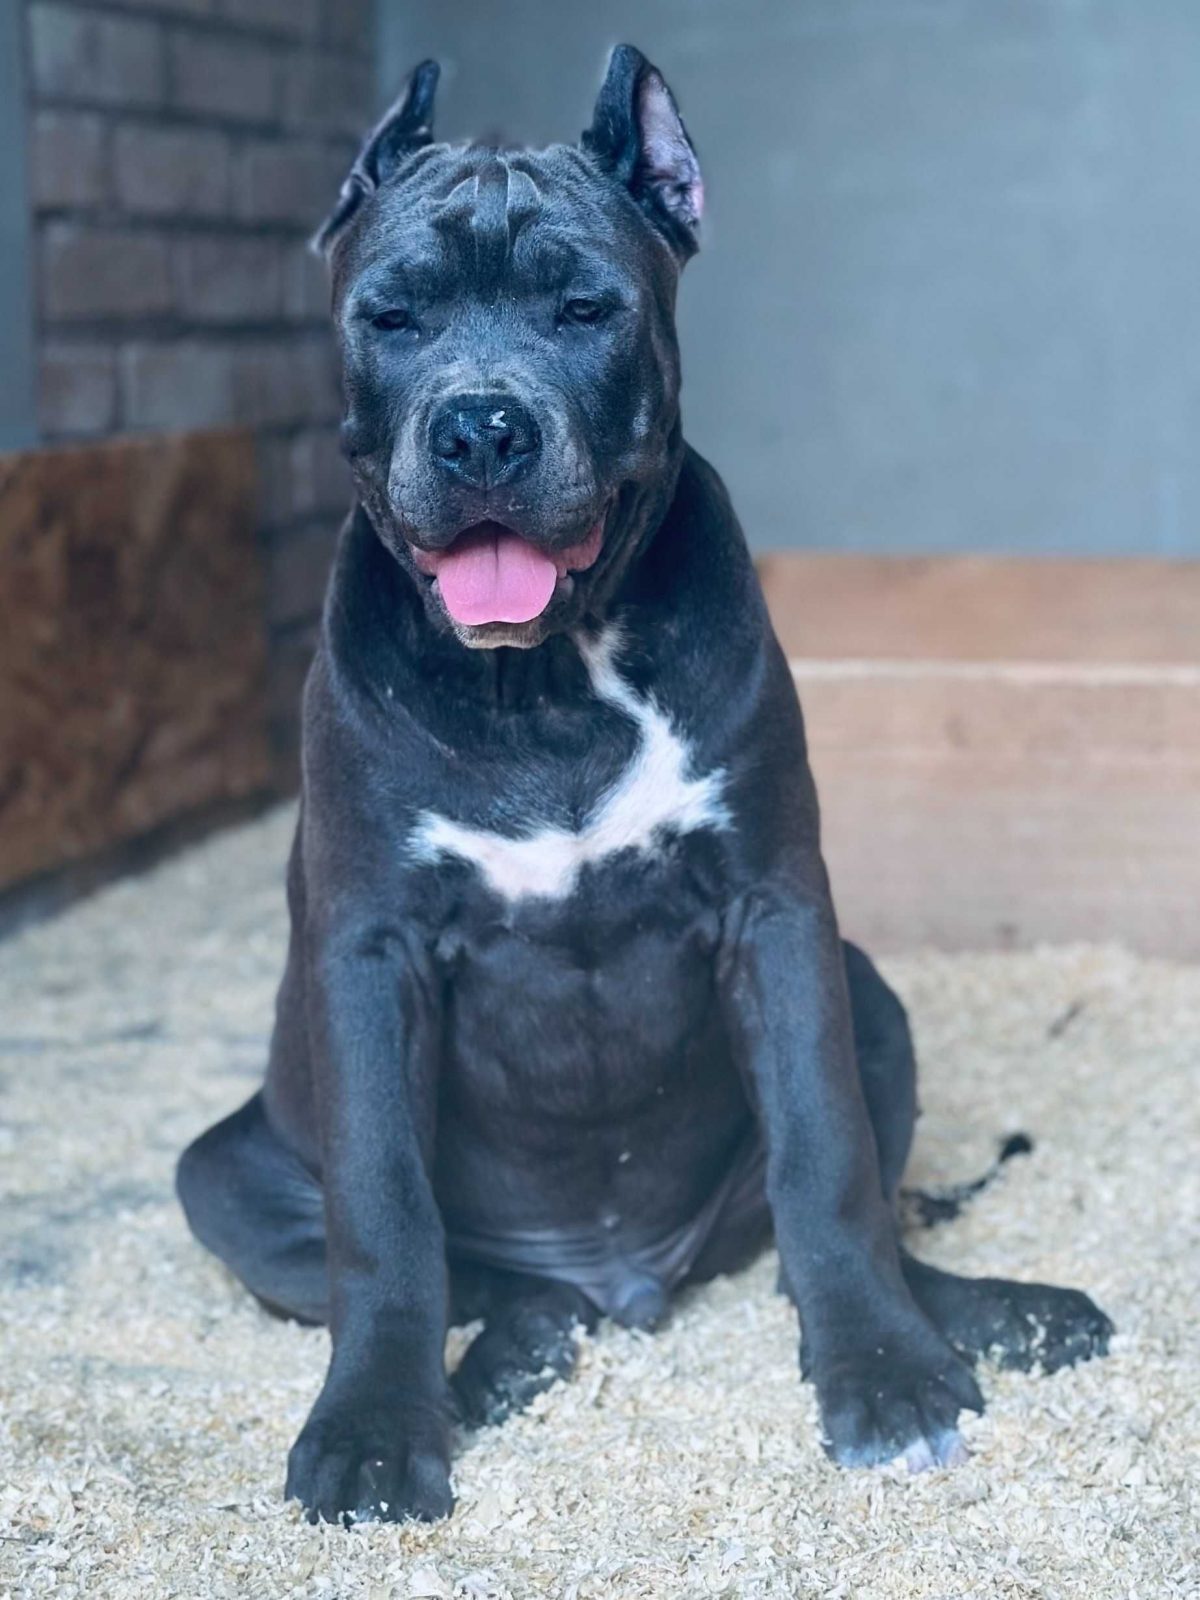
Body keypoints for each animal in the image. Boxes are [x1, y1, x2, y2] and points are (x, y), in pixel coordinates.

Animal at [177, 46, 1112, 1525]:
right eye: (393, 315)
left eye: (584, 309)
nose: (482, 429)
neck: (544, 683)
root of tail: (618, 1277)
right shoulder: (367, 954)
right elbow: (384, 1218)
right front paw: (376, 1428)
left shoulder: (775, 911)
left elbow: (830, 1158)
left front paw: (886, 1373)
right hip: (222, 1169)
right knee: (479, 1278)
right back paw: (507, 1352)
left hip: (869, 989)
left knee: (824, 1211)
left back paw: (989, 1311)